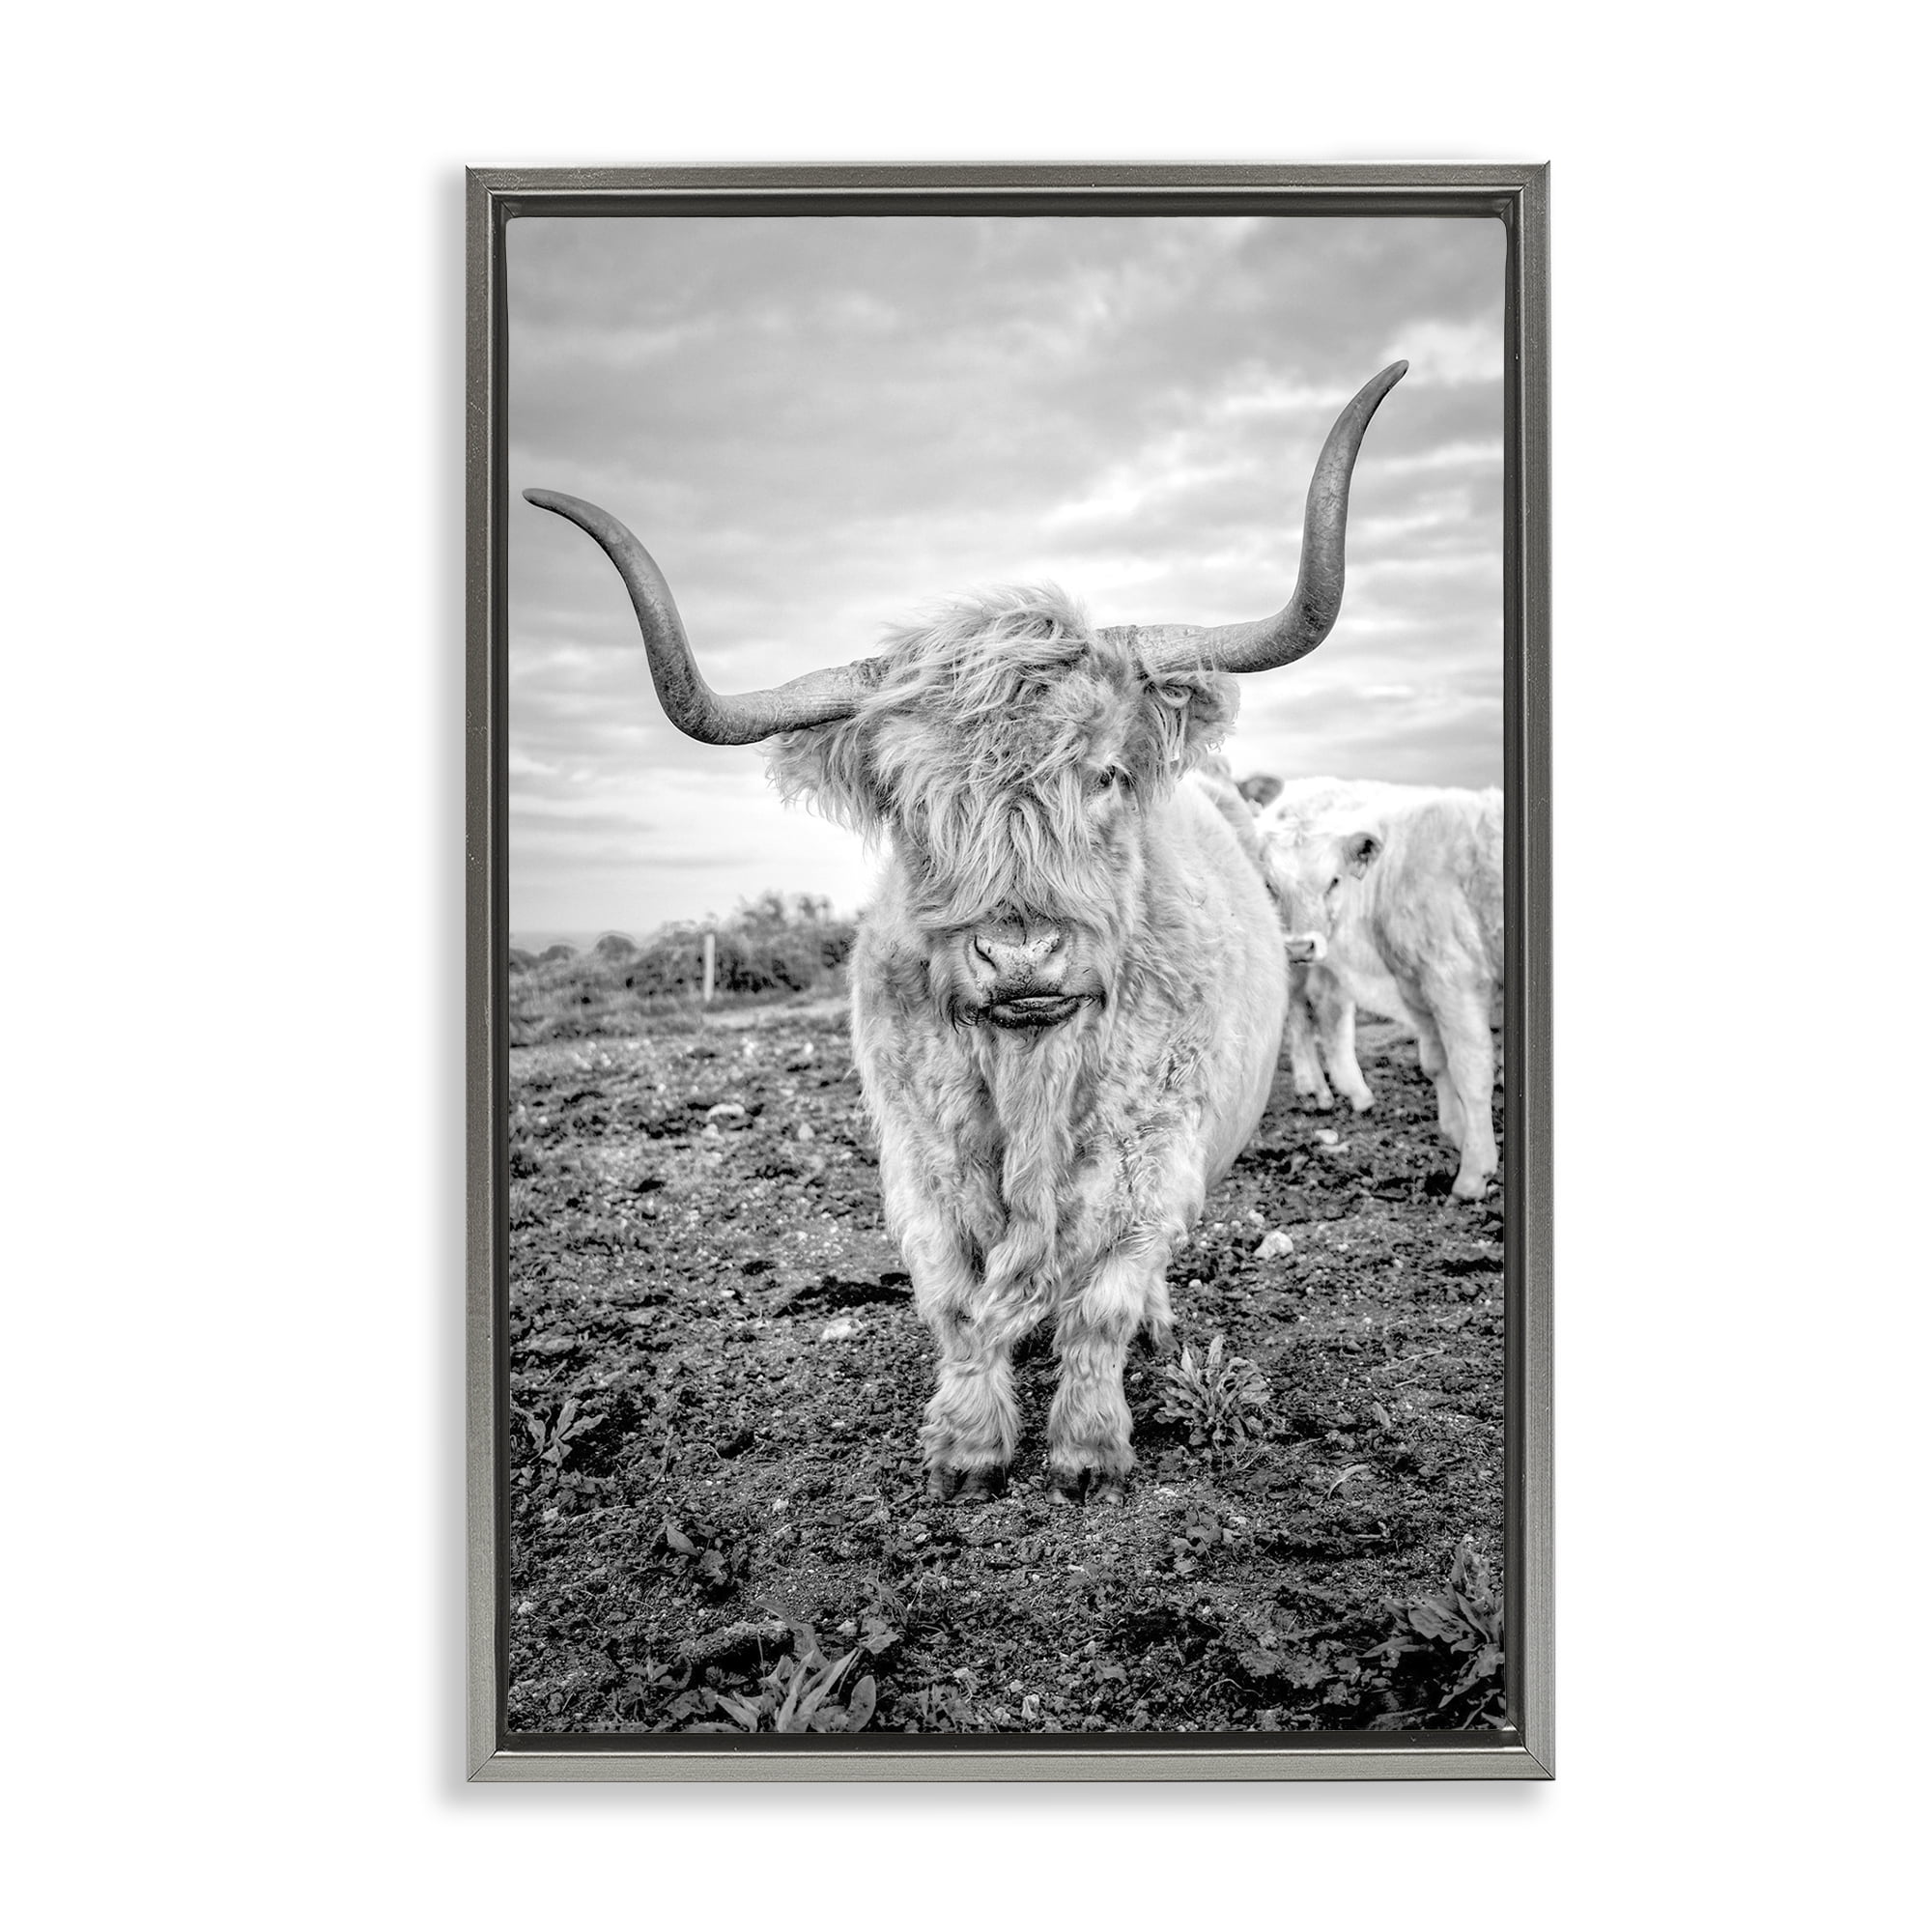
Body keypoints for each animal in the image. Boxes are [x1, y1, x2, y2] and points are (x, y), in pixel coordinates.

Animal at [524, 361, 1405, 1502]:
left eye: (1104, 772)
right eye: (909, 803)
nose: (1021, 953)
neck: (1030, 1071)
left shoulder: (1153, 1156)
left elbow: (1102, 1301)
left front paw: (1088, 1450)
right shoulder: (918, 1159)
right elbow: (952, 1301)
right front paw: (967, 1446)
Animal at [1256, 778, 1504, 1201]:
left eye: (1333, 881)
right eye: (1271, 886)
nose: (1300, 947)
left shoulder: (1448, 978)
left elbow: (1467, 1071)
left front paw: (1473, 1172)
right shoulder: (1421, 982)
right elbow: (1438, 1063)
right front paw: (1464, 1140)